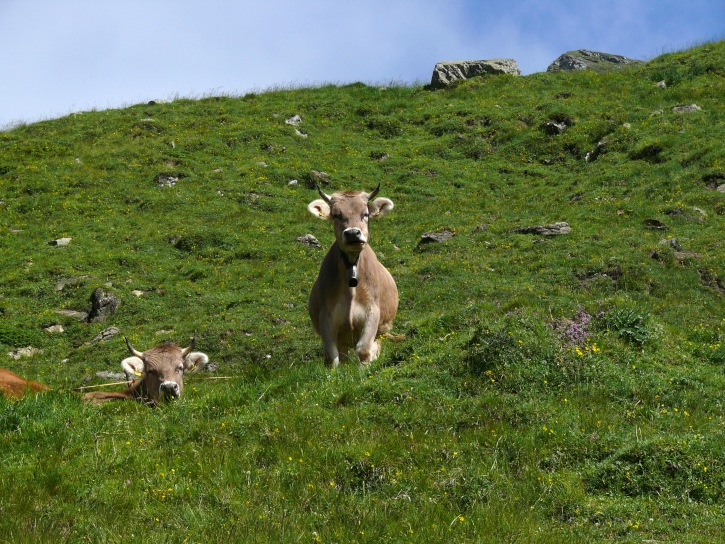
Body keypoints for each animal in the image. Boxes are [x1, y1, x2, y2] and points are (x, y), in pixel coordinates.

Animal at [304, 185, 398, 368]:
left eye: (365, 214)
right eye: (336, 215)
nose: (353, 233)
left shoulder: (372, 311)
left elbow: (364, 350)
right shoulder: (326, 315)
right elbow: (331, 356)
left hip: (381, 330)